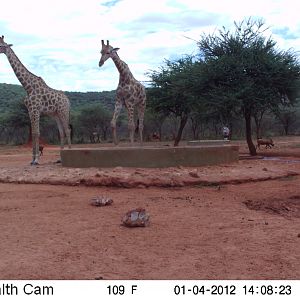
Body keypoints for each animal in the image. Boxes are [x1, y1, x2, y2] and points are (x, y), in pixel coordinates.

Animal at [0, 37, 71, 166]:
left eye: (1, 45)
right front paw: (32, 159)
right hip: (56, 114)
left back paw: (69, 153)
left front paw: (36, 160)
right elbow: (33, 133)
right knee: (62, 132)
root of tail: (68, 100)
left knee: (67, 130)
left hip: (63, 112)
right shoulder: (30, 110)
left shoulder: (36, 110)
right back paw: (60, 158)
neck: (28, 87)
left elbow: (36, 133)